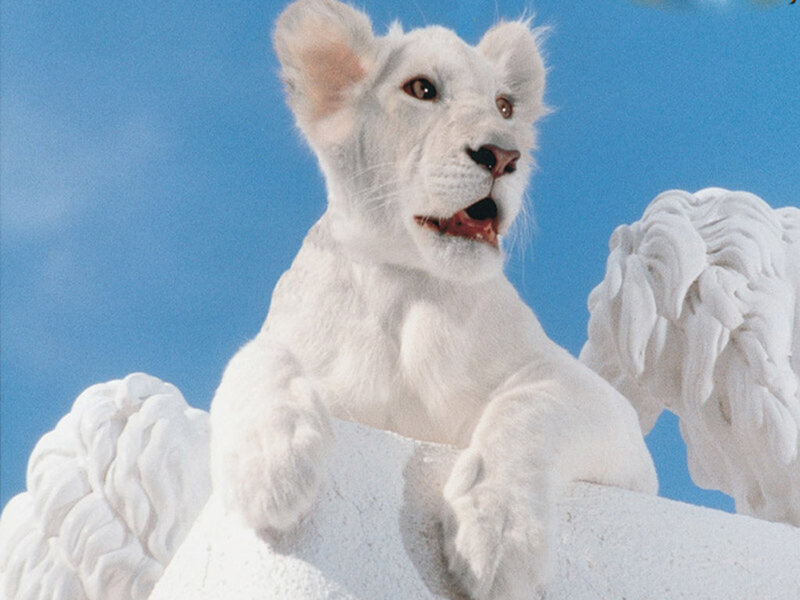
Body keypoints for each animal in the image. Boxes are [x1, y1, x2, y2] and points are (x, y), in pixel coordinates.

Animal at [209, 1, 658, 597]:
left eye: (505, 106)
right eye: (422, 89)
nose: (502, 155)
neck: (408, 288)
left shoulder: (618, 432)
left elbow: (530, 404)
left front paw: (496, 533)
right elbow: (256, 356)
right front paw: (272, 464)